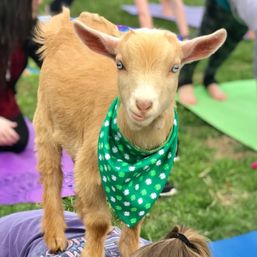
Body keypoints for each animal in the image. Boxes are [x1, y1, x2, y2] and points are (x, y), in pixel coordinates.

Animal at [33, 8, 226, 256]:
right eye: (120, 64)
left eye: (175, 68)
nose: (143, 105)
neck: (135, 153)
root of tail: (68, 21)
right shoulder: (92, 173)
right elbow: (98, 222)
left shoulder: (146, 184)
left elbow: (136, 221)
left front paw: (130, 247)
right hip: (44, 120)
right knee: (51, 176)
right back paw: (55, 235)